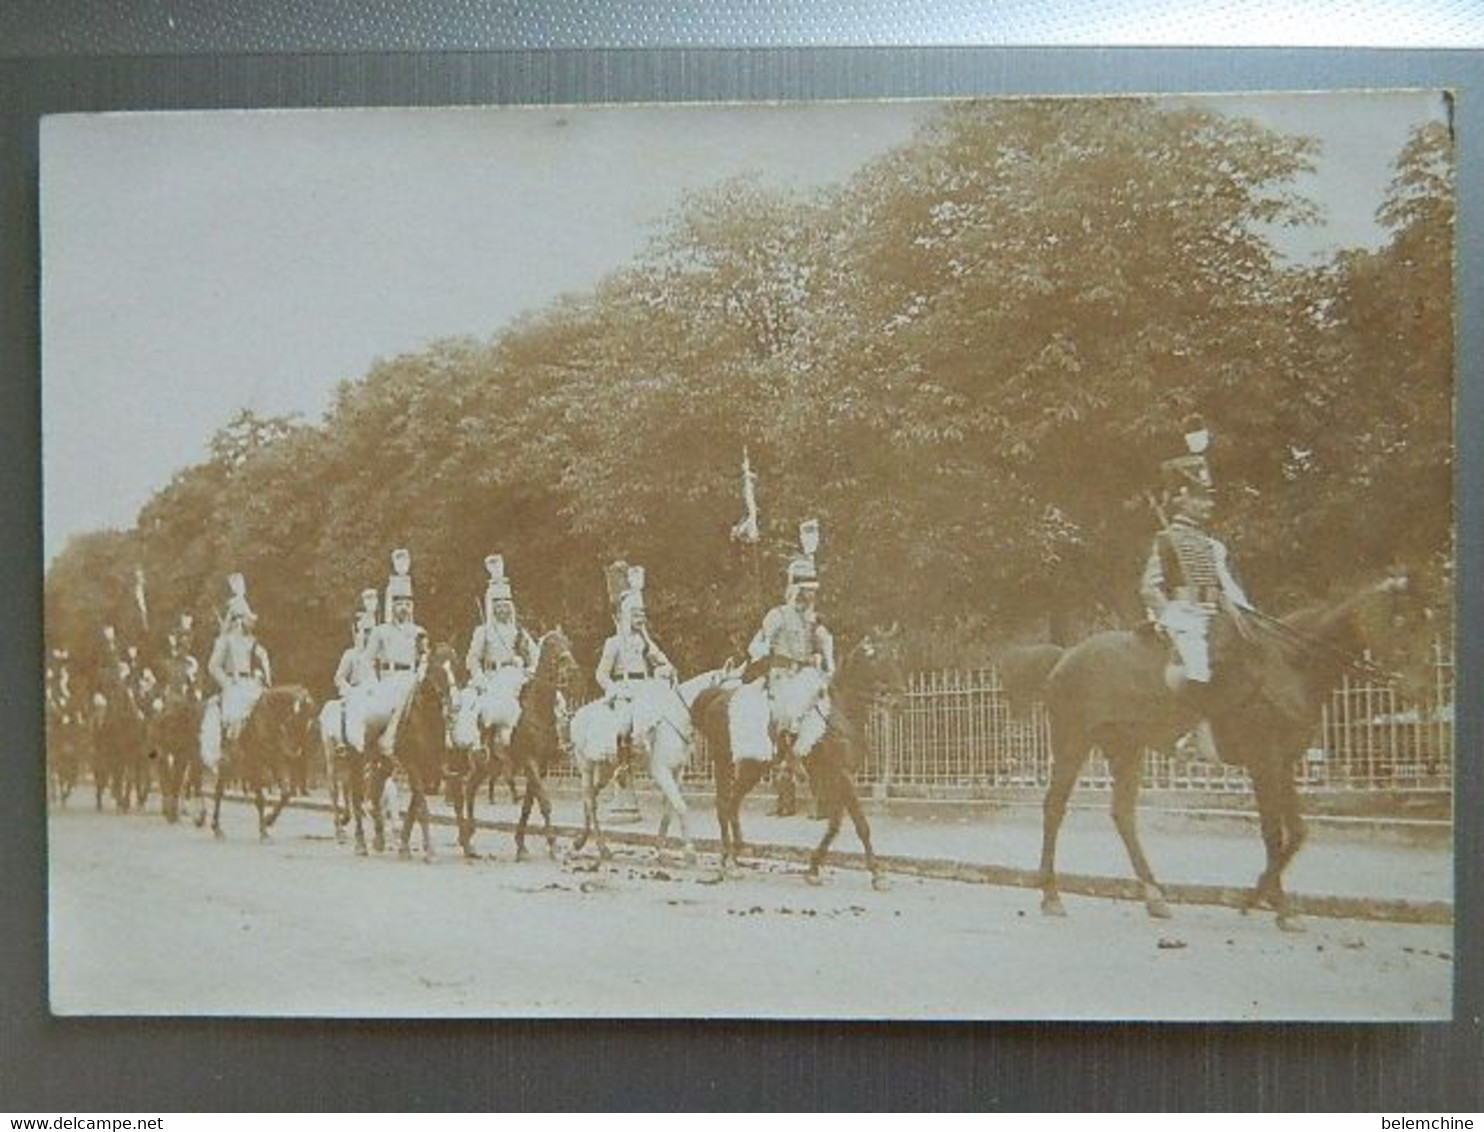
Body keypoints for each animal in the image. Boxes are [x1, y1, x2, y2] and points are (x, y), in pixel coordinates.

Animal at [203, 682, 316, 842]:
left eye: (309, 721)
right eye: (296, 719)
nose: (296, 751)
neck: (268, 718)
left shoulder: (275, 761)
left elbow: (285, 793)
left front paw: (269, 820)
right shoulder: (255, 764)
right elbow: (261, 799)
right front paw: (263, 831)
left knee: (221, 790)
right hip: (228, 764)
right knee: (218, 791)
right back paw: (216, 828)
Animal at [362, 649, 454, 860]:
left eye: (455, 665)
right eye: (434, 668)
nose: (448, 699)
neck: (426, 721)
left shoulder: (430, 769)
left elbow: (415, 805)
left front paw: (404, 845)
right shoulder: (413, 765)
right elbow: (422, 805)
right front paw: (430, 850)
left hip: (387, 762)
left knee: (378, 783)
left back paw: (379, 835)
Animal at [569, 658, 747, 860]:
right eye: (728, 696)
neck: (678, 716)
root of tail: (578, 714)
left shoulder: (677, 772)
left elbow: (669, 811)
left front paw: (659, 848)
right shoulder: (661, 771)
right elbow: (681, 807)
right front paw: (689, 851)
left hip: (606, 767)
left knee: (590, 798)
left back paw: (582, 841)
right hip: (586, 765)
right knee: (589, 801)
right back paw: (600, 847)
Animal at [691, 629, 902, 884]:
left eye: (896, 654)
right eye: (876, 657)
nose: (898, 700)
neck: (840, 713)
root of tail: (717, 696)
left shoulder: (838, 777)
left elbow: (835, 824)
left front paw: (814, 867)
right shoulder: (841, 775)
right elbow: (861, 823)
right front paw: (877, 874)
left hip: (752, 768)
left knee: (732, 803)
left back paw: (735, 852)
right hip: (725, 762)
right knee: (724, 804)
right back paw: (728, 860)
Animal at [1020, 575, 1412, 931]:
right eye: (1404, 620)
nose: (1410, 681)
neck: (1289, 665)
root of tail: (1064, 657)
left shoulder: (1283, 763)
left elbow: (1296, 832)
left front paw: (1263, 898)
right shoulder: (1263, 763)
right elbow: (1273, 833)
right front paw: (1270, 904)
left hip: (1127, 749)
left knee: (1122, 814)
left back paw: (1154, 896)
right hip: (1072, 743)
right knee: (1054, 808)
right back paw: (1051, 895)